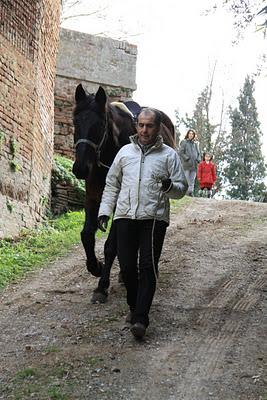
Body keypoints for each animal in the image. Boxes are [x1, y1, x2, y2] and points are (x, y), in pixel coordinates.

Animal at [72, 84, 177, 304]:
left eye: (100, 124)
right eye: (75, 121)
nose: (80, 168)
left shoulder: (121, 202)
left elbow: (111, 246)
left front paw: (102, 286)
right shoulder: (93, 198)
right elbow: (86, 235)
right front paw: (95, 267)